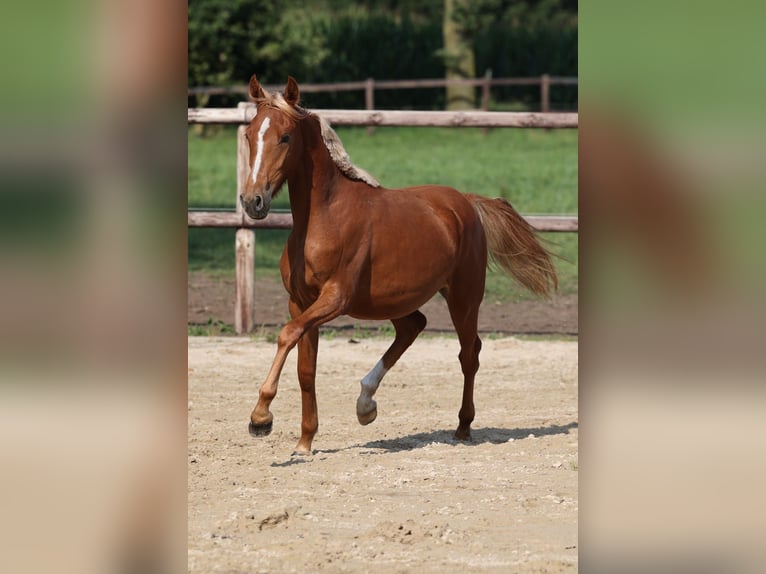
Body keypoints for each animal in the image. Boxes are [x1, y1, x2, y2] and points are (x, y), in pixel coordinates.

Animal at [242, 76, 560, 456]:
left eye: (285, 137)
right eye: (248, 134)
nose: (253, 201)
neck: (323, 219)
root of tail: (466, 202)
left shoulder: (335, 299)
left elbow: (286, 335)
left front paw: (260, 418)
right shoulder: (301, 302)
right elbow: (306, 369)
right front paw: (304, 443)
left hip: (464, 298)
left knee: (469, 354)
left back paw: (462, 427)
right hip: (392, 300)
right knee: (414, 327)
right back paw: (366, 405)